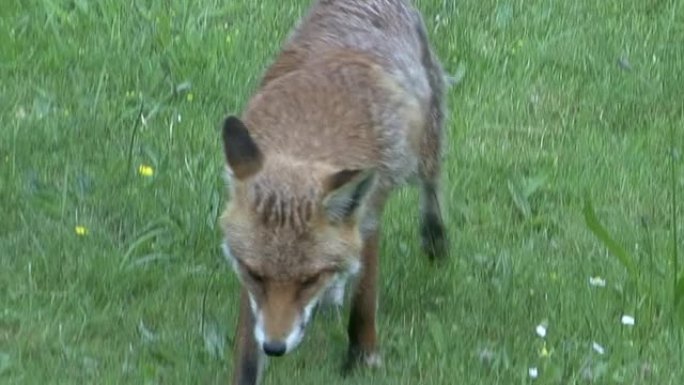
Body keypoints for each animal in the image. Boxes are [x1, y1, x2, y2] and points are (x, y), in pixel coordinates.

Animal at [219, 0, 452, 380]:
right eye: (256, 275)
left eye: (307, 279)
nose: (275, 347)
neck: (308, 136)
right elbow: (247, 356)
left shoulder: (368, 215)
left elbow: (365, 297)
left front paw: (363, 355)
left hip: (426, 144)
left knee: (431, 186)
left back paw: (434, 238)